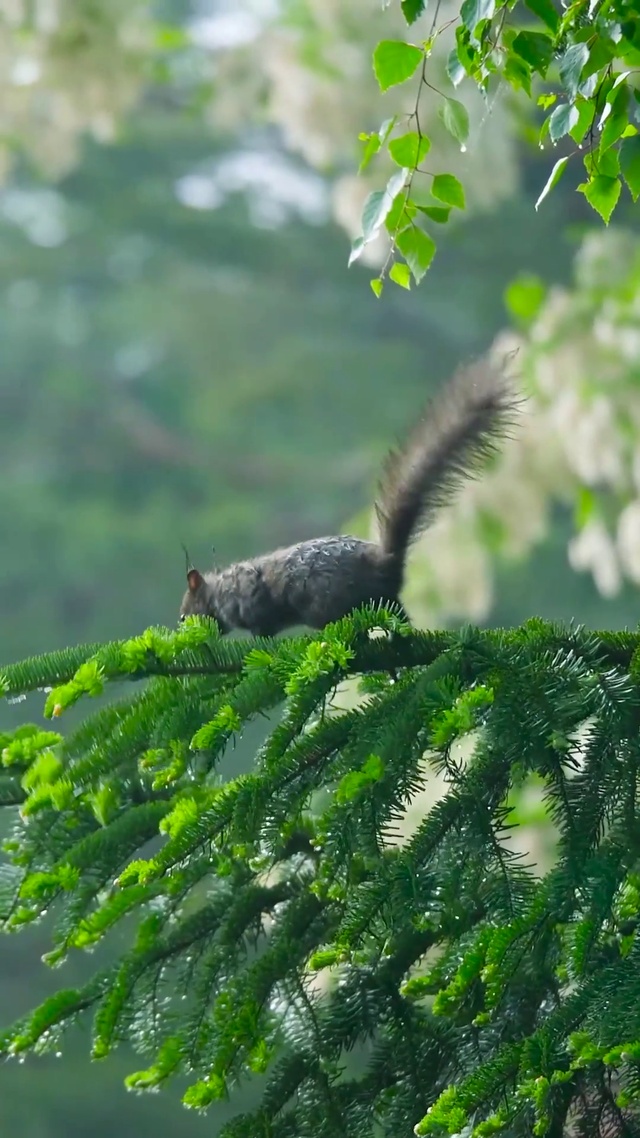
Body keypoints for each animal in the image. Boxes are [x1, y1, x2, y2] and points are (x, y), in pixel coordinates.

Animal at [176, 359, 514, 637]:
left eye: (184, 615)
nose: (182, 631)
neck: (219, 592)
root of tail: (385, 563)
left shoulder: (251, 603)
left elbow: (263, 630)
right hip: (386, 601)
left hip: (331, 604)